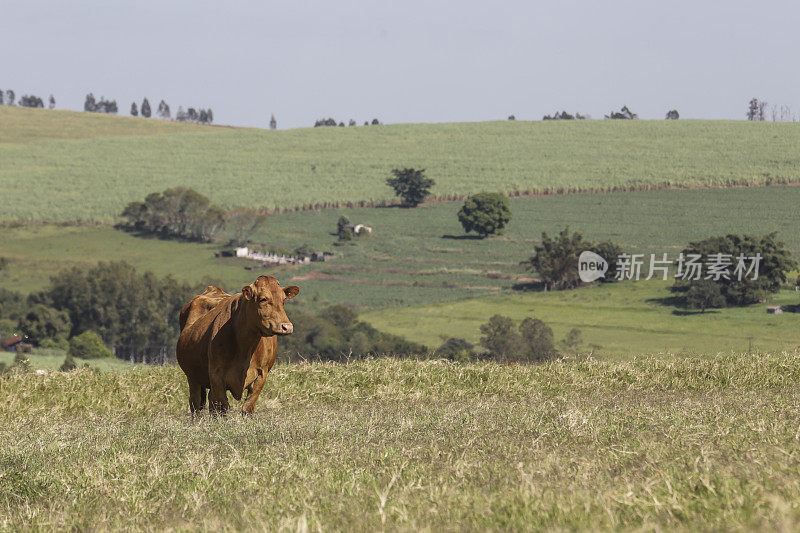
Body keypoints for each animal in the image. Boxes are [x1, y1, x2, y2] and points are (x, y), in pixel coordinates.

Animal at [177, 276, 298, 414]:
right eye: (263, 299)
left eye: (283, 300)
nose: (287, 327)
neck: (245, 348)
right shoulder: (216, 374)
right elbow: (223, 407)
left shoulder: (262, 373)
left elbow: (248, 406)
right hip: (192, 377)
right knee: (196, 403)